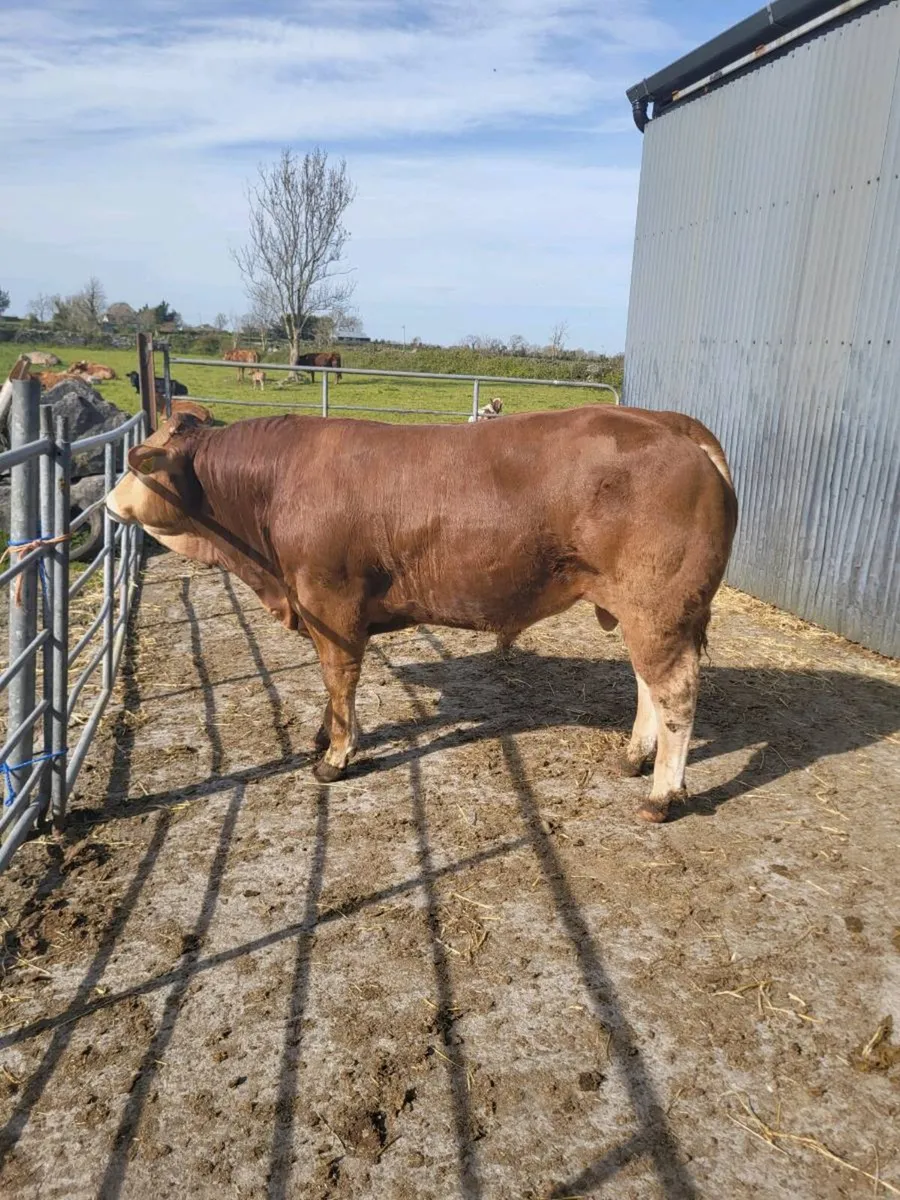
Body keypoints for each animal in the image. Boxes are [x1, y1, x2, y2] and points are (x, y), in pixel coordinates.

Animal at [105, 406, 737, 823]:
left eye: (138, 464)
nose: (108, 504)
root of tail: (668, 422)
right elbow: (331, 685)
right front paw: (324, 736)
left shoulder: (329, 602)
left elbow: (339, 678)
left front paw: (335, 756)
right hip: (645, 612)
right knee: (648, 683)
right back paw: (634, 757)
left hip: (658, 608)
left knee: (676, 692)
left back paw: (662, 795)